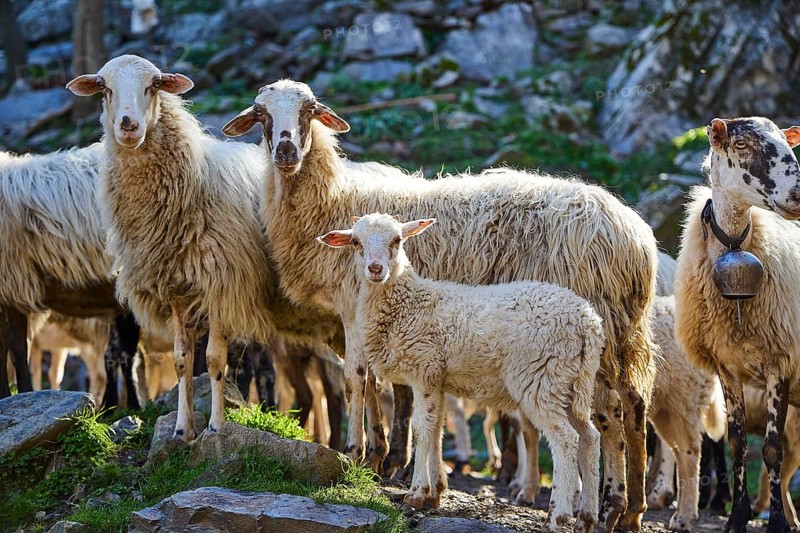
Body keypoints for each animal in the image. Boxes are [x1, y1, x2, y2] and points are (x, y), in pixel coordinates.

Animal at [67, 55, 342, 441]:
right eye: (104, 89)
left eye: (154, 85)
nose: (128, 126)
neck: (194, 181)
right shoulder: (177, 291)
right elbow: (183, 361)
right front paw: (183, 429)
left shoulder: (223, 285)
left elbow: (213, 361)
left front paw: (216, 425)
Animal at [319, 213, 604, 532]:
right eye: (356, 242)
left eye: (397, 240)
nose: (376, 269)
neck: (409, 302)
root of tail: (587, 321)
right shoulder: (438, 379)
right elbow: (437, 430)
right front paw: (435, 492)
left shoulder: (424, 369)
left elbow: (422, 429)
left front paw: (416, 493)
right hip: (573, 383)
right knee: (590, 438)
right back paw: (587, 518)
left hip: (542, 377)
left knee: (566, 440)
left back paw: (558, 516)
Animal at [674, 116, 800, 533]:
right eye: (741, 144)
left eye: (788, 144)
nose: (798, 194)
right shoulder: (726, 367)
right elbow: (737, 444)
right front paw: (737, 517)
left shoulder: (781, 362)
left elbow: (773, 451)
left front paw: (776, 522)